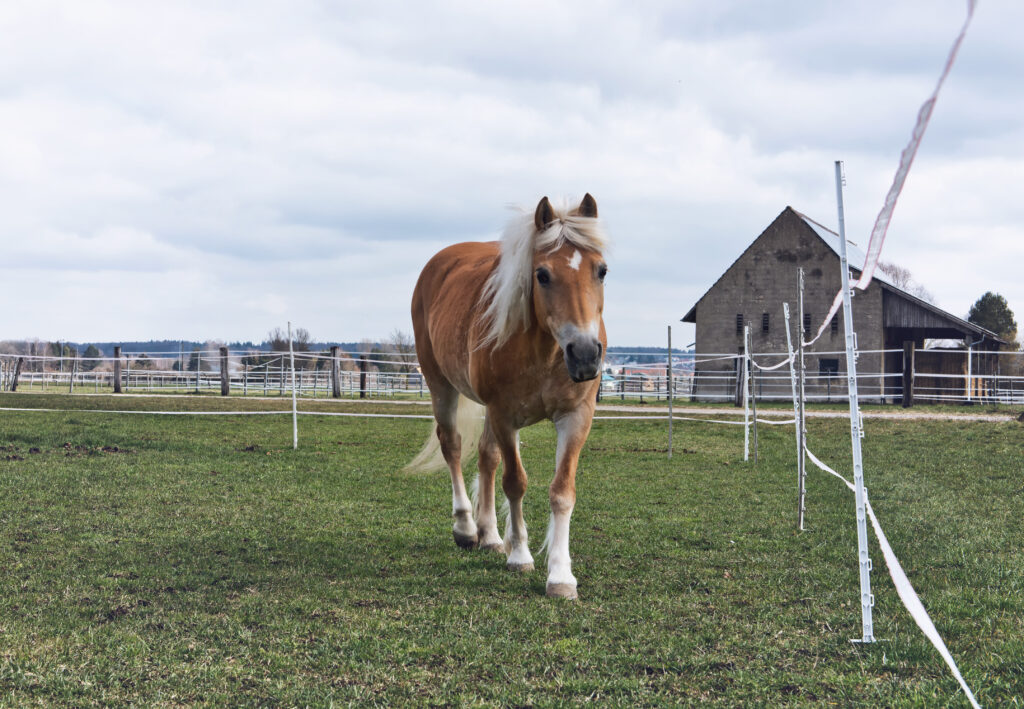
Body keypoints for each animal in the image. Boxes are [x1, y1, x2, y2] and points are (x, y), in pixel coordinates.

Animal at [401, 193, 606, 598]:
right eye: (542, 275)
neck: (545, 350)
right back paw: (466, 528)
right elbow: (515, 482)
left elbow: (562, 490)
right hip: (441, 385)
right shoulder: (504, 415)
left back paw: (491, 535)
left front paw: (560, 575)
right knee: (452, 446)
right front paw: (521, 557)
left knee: (486, 457)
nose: (585, 354)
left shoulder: (576, 417)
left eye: (601, 270)